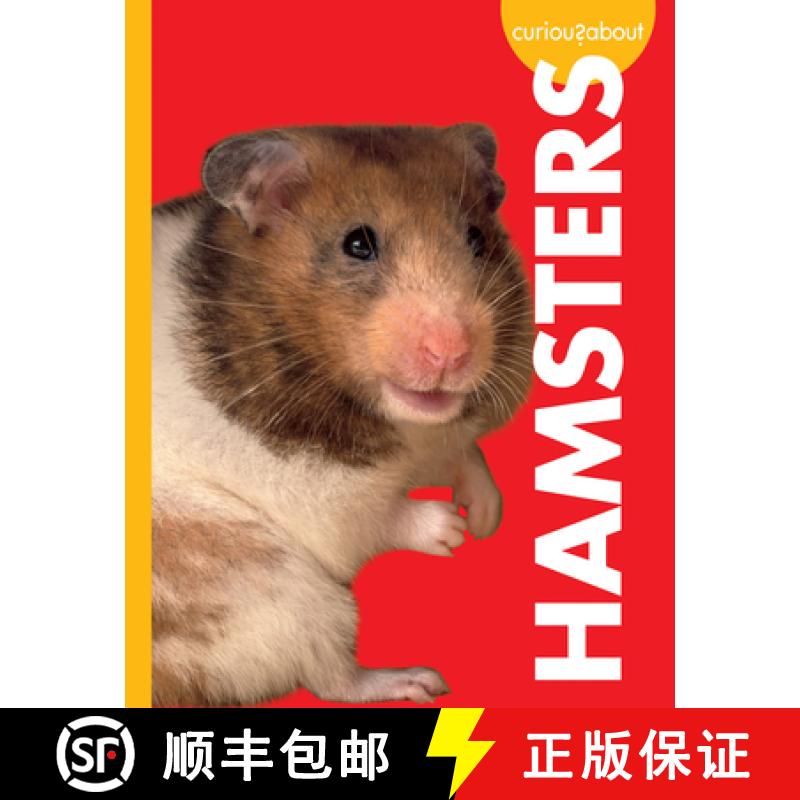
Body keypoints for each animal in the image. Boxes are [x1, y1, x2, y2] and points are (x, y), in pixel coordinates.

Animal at [152, 124, 532, 705]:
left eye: (476, 238)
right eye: (358, 244)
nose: (451, 354)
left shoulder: (437, 440)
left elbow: (465, 453)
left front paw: (486, 519)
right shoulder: (321, 495)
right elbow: (378, 516)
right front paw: (452, 531)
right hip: (273, 586)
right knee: (331, 676)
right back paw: (417, 680)